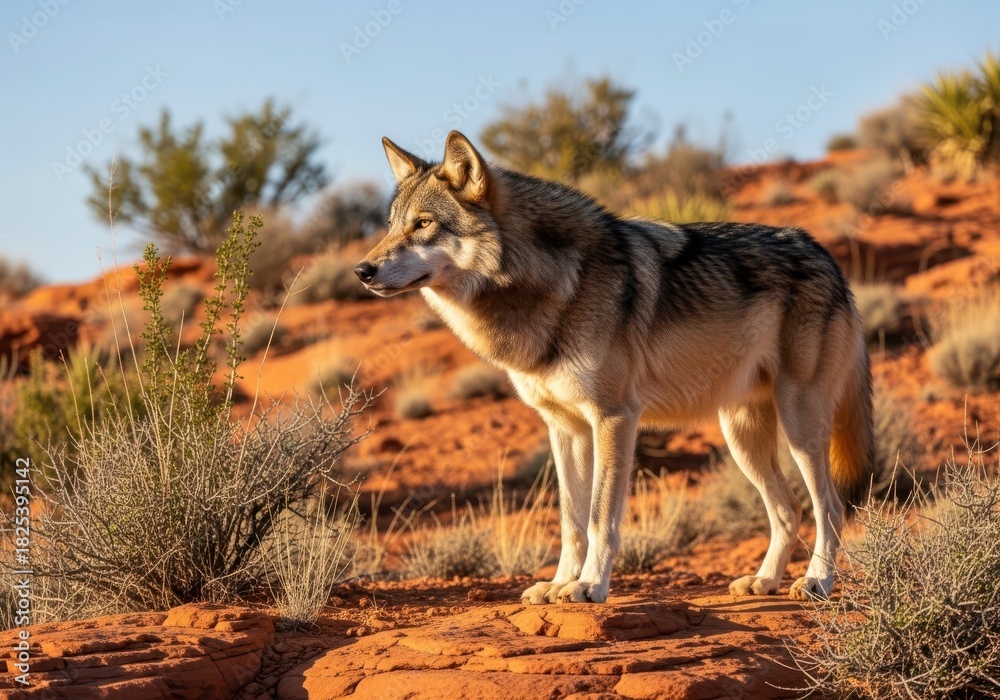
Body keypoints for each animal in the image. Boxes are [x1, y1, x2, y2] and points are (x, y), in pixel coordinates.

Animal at [356, 130, 875, 604]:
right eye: (392, 226)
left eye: (423, 224)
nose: (362, 271)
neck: (552, 285)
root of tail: (826, 255)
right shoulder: (565, 428)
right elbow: (570, 519)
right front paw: (559, 584)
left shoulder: (614, 418)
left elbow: (599, 516)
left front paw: (589, 586)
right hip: (742, 436)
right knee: (787, 511)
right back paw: (765, 582)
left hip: (799, 426)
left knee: (829, 507)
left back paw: (817, 581)